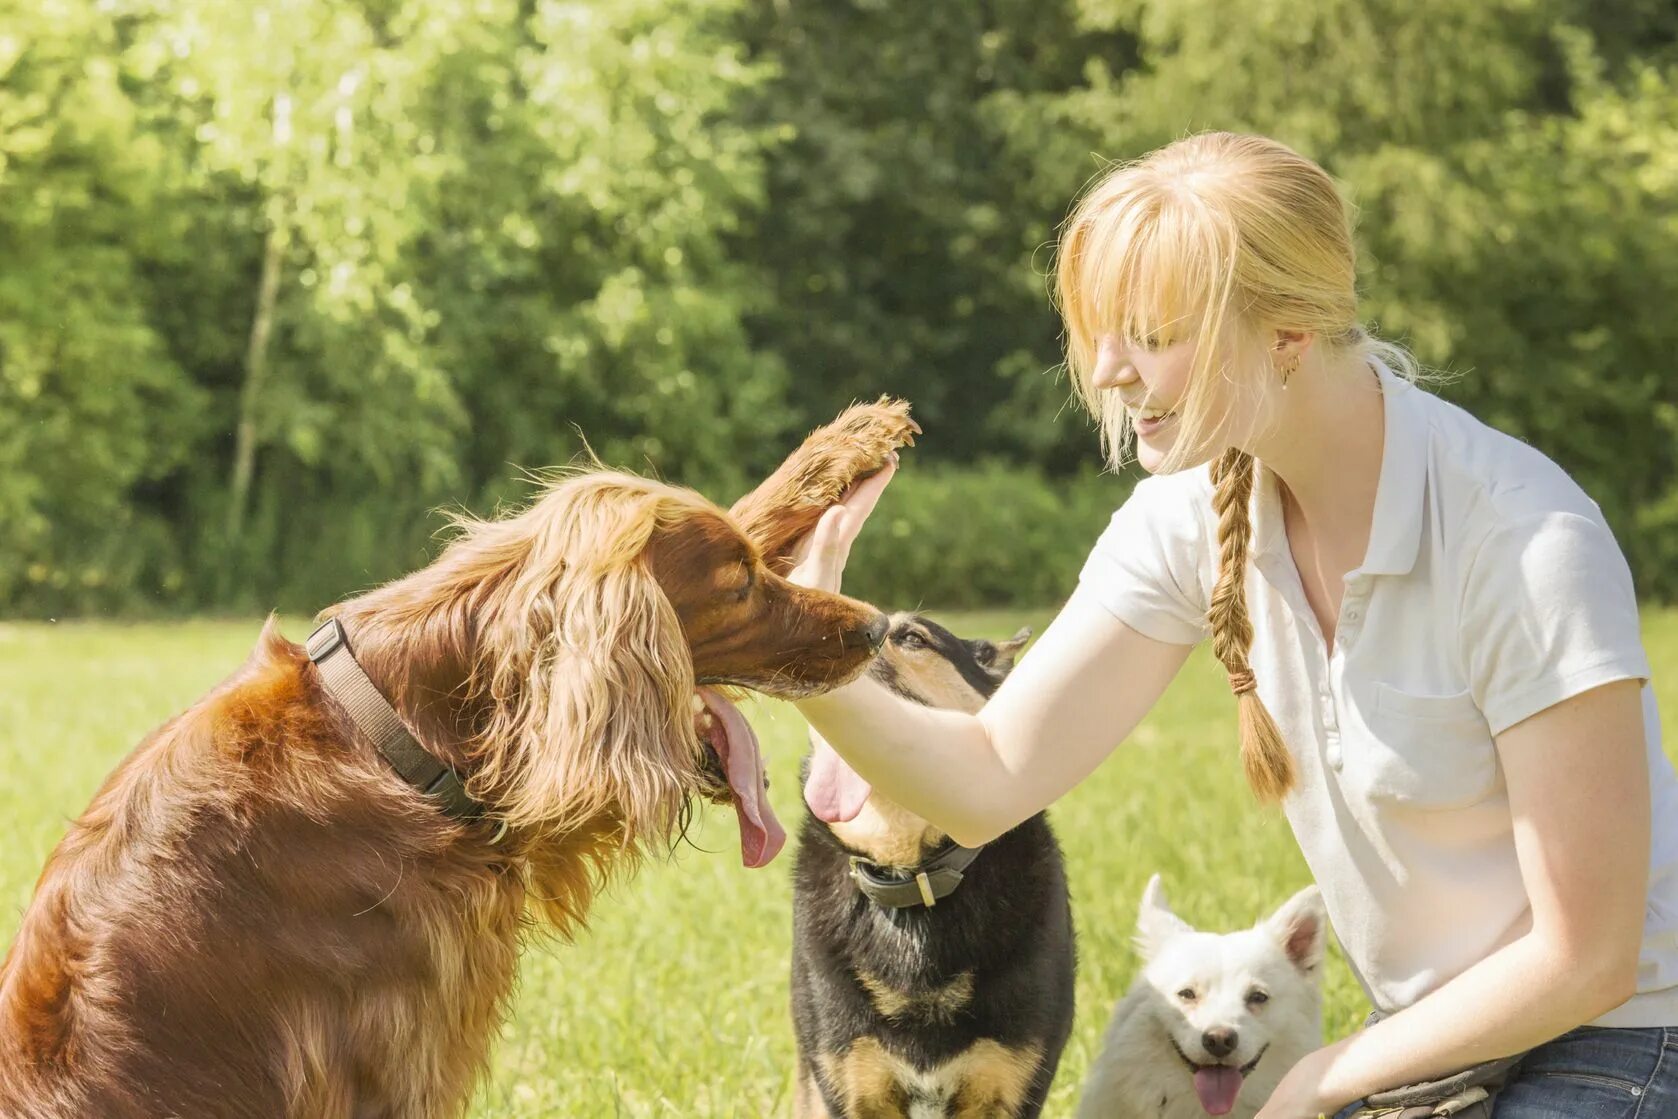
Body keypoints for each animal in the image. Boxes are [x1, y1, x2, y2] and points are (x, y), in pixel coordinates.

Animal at [0, 402, 919, 1119]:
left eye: (754, 568)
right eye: (736, 586)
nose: (875, 627)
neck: (389, 737)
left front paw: (843, 446)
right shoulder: (390, 1057)